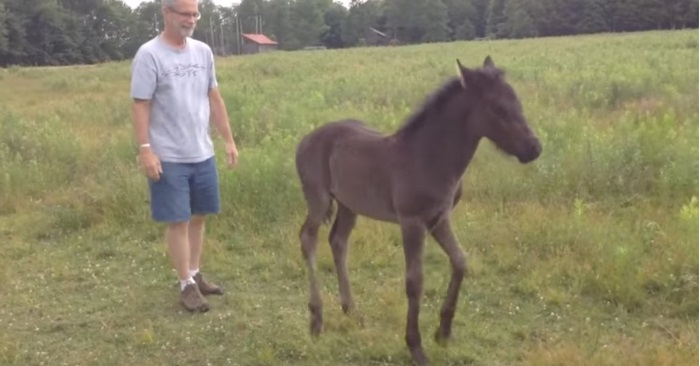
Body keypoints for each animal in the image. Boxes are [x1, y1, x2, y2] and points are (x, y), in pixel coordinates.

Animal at [294, 55, 540, 364]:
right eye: (498, 108)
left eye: (517, 102)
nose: (534, 148)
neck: (429, 156)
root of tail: (304, 140)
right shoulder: (411, 222)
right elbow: (415, 281)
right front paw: (416, 346)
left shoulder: (439, 218)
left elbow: (460, 260)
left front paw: (443, 332)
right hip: (319, 200)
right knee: (308, 238)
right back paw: (316, 319)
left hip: (349, 205)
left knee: (338, 241)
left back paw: (352, 311)